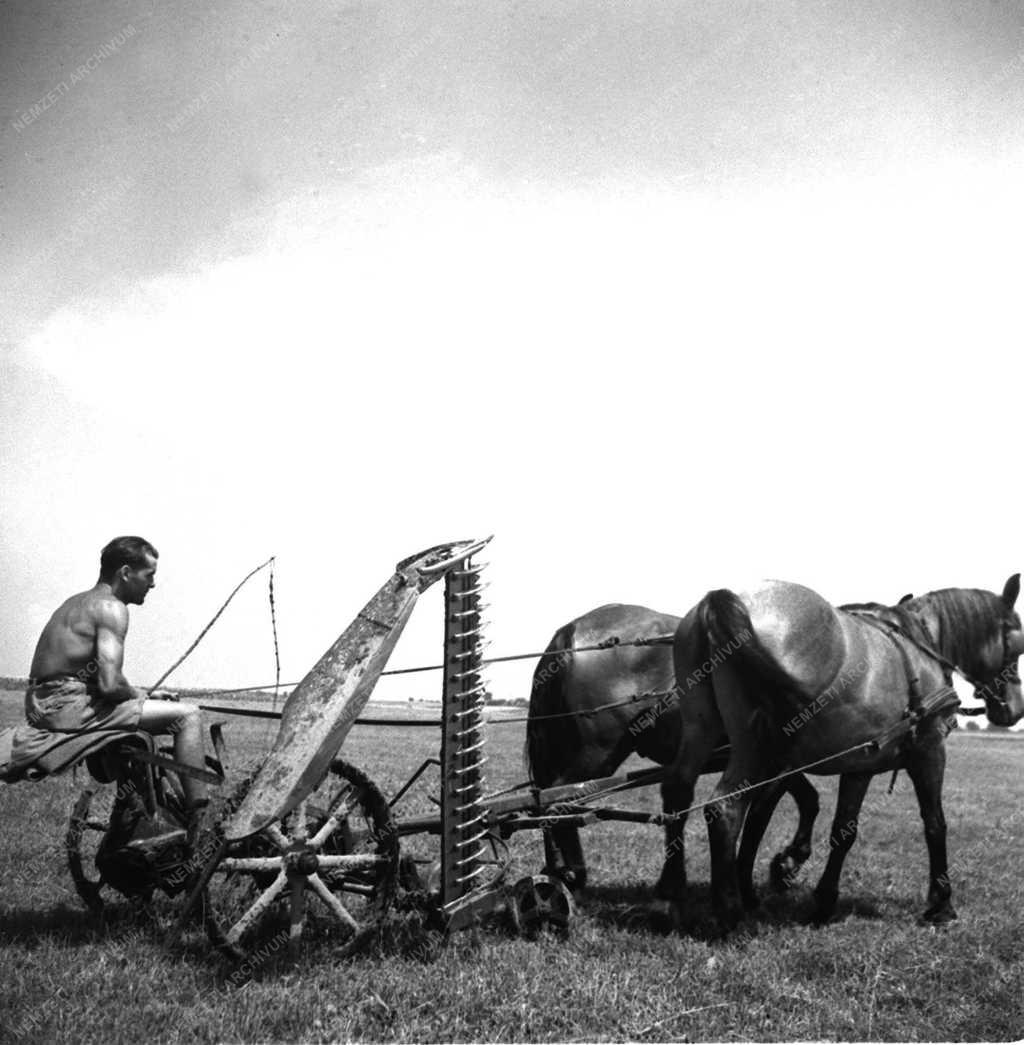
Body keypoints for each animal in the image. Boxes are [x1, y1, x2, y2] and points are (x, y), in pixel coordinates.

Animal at [528, 606, 823, 898]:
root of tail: (573, 629)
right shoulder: (778, 764)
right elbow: (767, 817)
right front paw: (775, 869)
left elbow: (809, 799)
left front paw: (787, 863)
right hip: (598, 752)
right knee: (558, 800)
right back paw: (575, 873)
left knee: (543, 800)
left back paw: (556, 870)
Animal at [664, 581, 1023, 932]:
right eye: (1016, 645)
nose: (1014, 710)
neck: (920, 646)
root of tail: (722, 600)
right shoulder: (930, 749)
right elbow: (935, 823)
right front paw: (941, 904)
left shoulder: (861, 764)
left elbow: (843, 832)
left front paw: (822, 903)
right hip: (755, 746)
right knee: (725, 807)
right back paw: (730, 912)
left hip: (701, 727)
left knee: (679, 791)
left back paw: (674, 892)